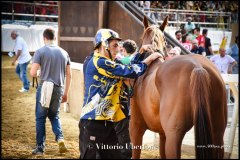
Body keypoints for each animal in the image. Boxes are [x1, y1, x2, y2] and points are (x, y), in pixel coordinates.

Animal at [129, 16, 227, 159]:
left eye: (141, 38)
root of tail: (197, 67)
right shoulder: (162, 133)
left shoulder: (136, 127)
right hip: (218, 131)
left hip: (174, 134)